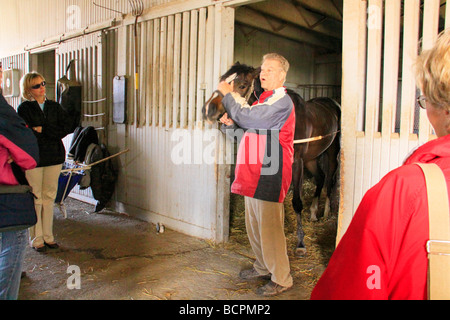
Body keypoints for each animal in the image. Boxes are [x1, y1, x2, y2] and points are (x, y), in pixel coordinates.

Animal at [202, 62, 340, 258]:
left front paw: (300, 243)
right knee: (320, 178)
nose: (209, 110)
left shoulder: (296, 162)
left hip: (330, 153)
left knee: (330, 179)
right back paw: (313, 213)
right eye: (222, 80)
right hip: (311, 159)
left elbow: (296, 202)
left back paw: (327, 212)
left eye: (242, 85)